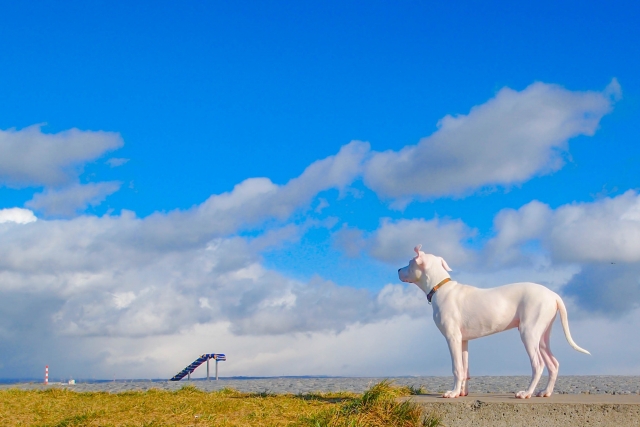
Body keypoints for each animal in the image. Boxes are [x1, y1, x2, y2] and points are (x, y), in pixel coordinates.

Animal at [400, 246, 592, 400]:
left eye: (409, 263)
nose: (398, 269)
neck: (440, 287)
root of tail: (553, 295)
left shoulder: (452, 338)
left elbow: (457, 368)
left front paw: (452, 393)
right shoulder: (463, 340)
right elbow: (465, 368)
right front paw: (462, 392)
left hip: (528, 333)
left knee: (538, 365)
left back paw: (526, 393)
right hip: (542, 336)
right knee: (553, 364)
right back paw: (545, 392)